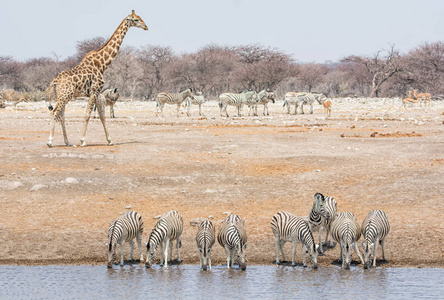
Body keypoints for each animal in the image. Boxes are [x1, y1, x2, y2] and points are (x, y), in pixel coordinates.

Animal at [46, 10, 148, 148]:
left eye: (140, 17)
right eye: (136, 19)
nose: (146, 26)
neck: (102, 64)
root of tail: (55, 82)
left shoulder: (97, 93)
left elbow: (101, 116)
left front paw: (109, 140)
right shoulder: (95, 91)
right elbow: (87, 115)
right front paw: (83, 141)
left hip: (63, 96)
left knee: (61, 114)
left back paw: (67, 142)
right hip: (64, 95)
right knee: (55, 112)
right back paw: (50, 141)